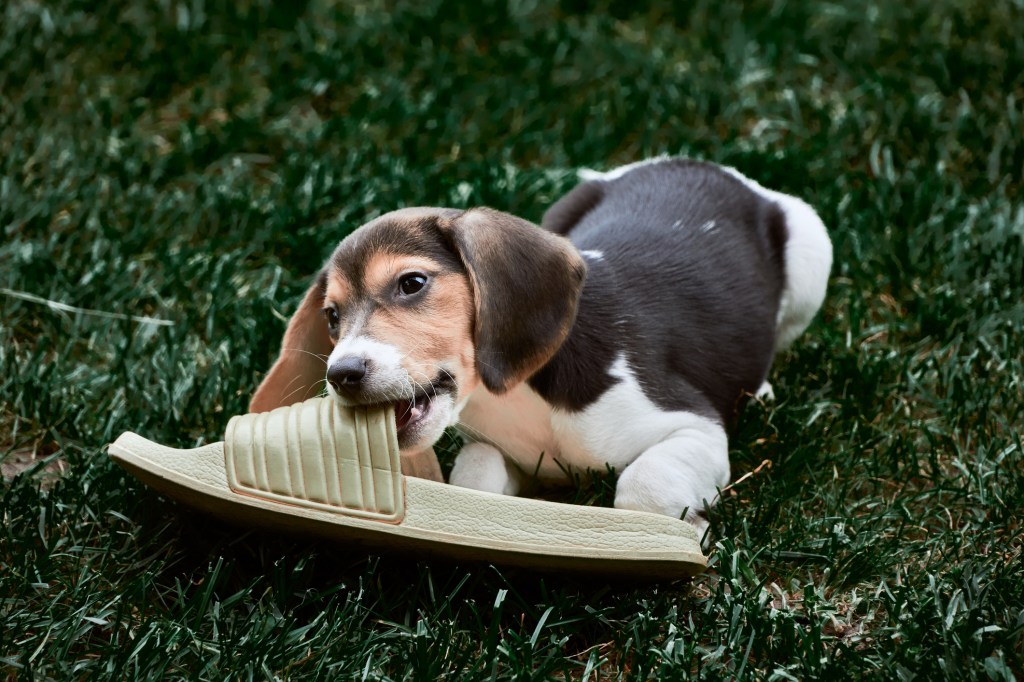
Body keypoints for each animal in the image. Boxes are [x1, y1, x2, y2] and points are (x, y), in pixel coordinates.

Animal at [247, 156, 831, 528]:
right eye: (331, 316)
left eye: (411, 283)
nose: (341, 375)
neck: (519, 395)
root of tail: (703, 165)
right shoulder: (496, 449)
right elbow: (475, 473)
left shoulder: (695, 426)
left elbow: (644, 488)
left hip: (811, 243)